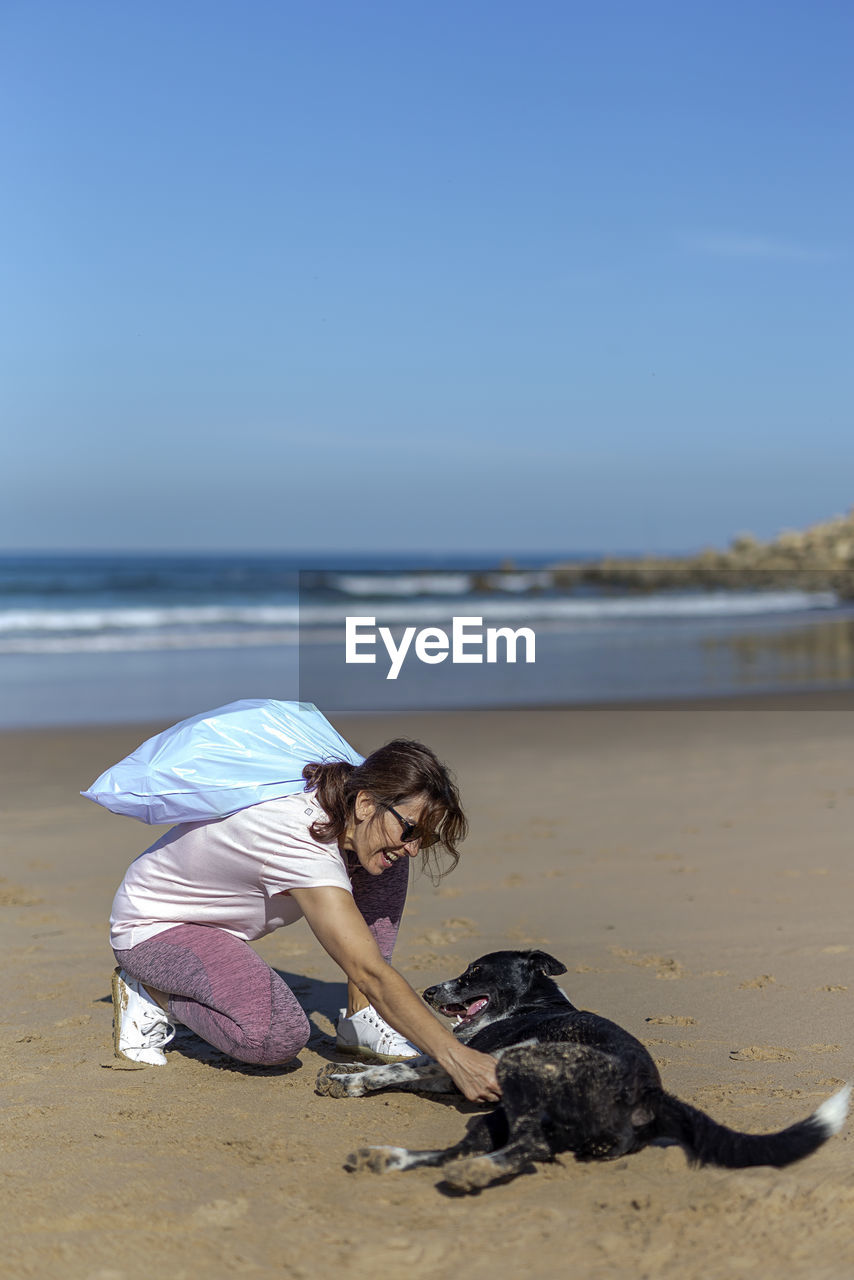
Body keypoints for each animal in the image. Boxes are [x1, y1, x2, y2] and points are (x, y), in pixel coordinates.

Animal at [317, 952, 850, 1187]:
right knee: (468, 1149)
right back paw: (386, 1158)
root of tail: (652, 1095)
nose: (428, 992)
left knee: (527, 1147)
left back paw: (474, 1170)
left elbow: (398, 1070)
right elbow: (407, 1066)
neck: (534, 1002)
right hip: (493, 1117)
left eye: (474, 973)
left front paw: (350, 1080)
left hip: (520, 1072)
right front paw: (343, 1073)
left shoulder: (464, 1067)